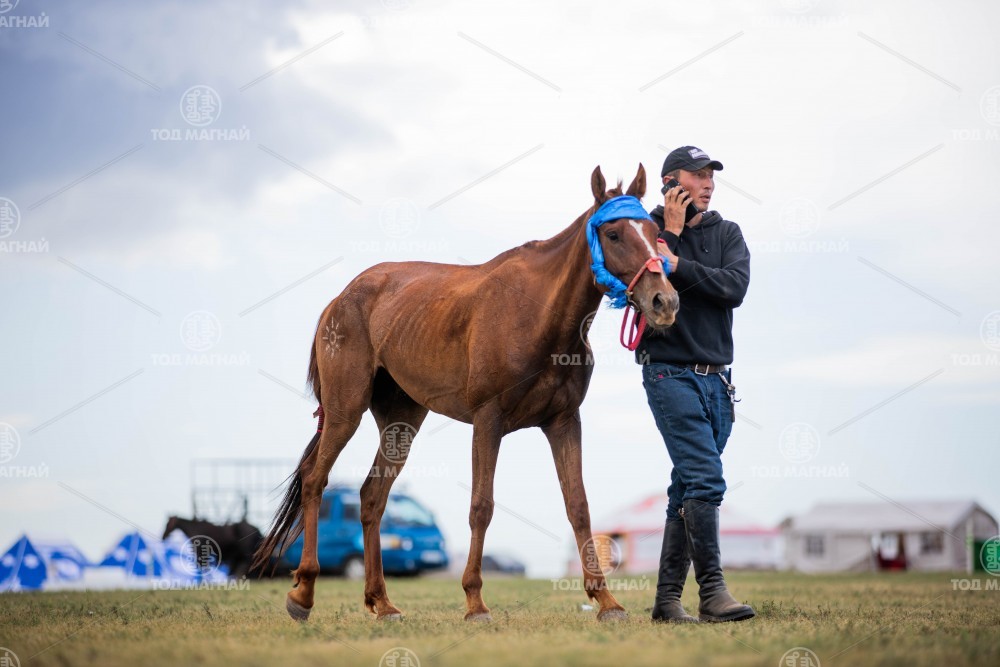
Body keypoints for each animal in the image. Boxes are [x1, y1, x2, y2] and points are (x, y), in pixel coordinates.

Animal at [251, 163, 679, 622]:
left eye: (655, 231)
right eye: (613, 234)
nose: (664, 301)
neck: (537, 313)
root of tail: (341, 298)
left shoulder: (563, 422)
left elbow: (578, 505)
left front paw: (606, 600)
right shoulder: (488, 421)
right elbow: (481, 507)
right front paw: (475, 602)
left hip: (401, 422)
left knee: (371, 498)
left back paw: (381, 601)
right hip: (345, 410)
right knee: (316, 479)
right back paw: (303, 592)